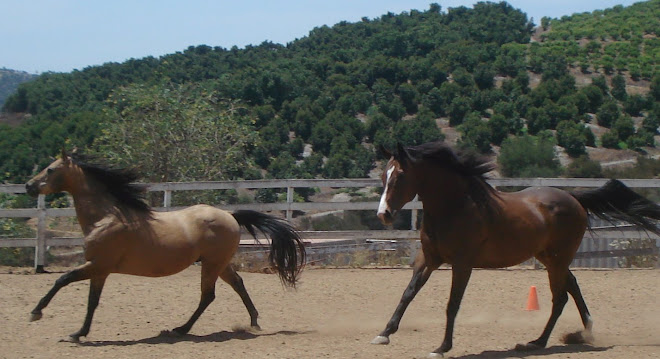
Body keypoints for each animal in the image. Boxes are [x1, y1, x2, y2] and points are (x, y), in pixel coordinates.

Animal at [24, 150, 306, 344]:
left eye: (50, 170)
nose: (28, 186)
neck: (106, 217)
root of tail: (230, 215)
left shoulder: (97, 265)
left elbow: (62, 280)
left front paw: (36, 313)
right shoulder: (100, 270)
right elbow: (92, 302)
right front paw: (79, 333)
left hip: (212, 264)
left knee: (208, 295)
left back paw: (182, 329)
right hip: (219, 263)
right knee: (237, 284)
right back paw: (253, 322)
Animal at [372, 141, 660, 358]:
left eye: (400, 176)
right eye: (384, 176)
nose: (384, 215)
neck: (455, 206)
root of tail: (574, 199)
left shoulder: (462, 264)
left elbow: (452, 304)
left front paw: (442, 348)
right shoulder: (429, 259)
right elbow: (408, 293)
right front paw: (384, 334)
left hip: (558, 259)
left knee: (560, 297)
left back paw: (539, 342)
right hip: (550, 258)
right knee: (571, 285)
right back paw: (580, 332)